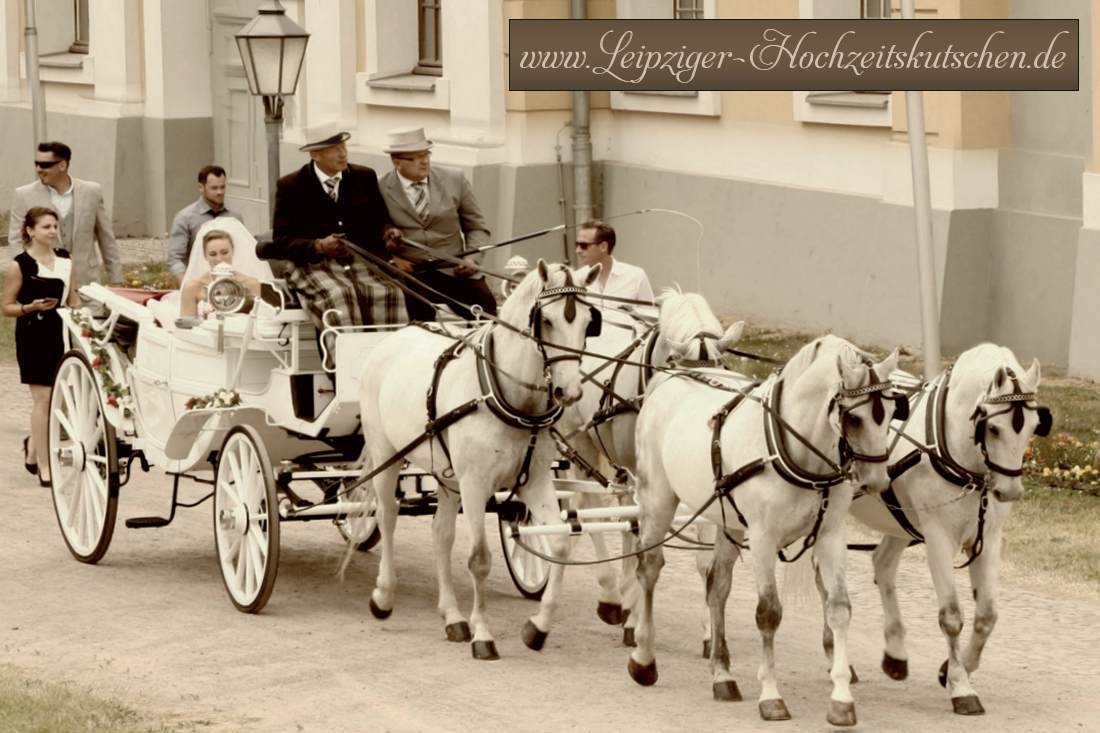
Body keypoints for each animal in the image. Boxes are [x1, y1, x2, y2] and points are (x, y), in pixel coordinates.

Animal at [354, 258, 598, 655]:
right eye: (546, 320)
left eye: (589, 321)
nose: (570, 391)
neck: (508, 396)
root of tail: (393, 336)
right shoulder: (474, 484)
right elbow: (480, 559)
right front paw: (483, 634)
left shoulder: (535, 481)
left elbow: (560, 543)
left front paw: (538, 627)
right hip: (385, 453)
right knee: (387, 516)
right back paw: (384, 595)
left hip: (447, 475)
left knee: (441, 534)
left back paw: (452, 616)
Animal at [554, 288, 743, 625]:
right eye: (680, 368)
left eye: (719, 366)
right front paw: (633, 608)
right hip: (582, 440)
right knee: (593, 508)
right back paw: (612, 595)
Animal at [633, 336, 897, 726]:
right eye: (854, 417)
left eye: (892, 413)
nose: (878, 481)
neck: (797, 452)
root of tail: (669, 378)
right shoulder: (762, 539)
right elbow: (768, 613)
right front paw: (771, 695)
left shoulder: (831, 536)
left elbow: (838, 608)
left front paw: (841, 698)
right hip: (658, 501)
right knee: (649, 569)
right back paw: (644, 659)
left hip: (727, 521)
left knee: (717, 587)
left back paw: (722, 675)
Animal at [844, 343, 1051, 713]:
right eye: (993, 429)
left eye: (1032, 427)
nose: (1009, 491)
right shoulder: (939, 537)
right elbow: (952, 616)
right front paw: (960, 686)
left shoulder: (988, 539)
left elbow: (987, 615)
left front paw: (955, 669)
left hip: (901, 521)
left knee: (882, 564)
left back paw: (895, 654)